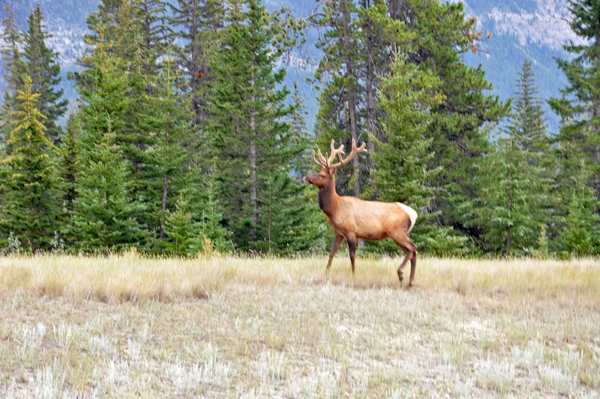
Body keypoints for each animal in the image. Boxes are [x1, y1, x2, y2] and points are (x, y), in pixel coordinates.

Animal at [302, 139, 420, 286]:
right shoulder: (339, 233)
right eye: (318, 170)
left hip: (396, 231)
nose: (306, 177)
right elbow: (331, 252)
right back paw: (410, 281)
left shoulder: (351, 230)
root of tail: (413, 214)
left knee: (412, 248)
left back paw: (401, 274)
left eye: (322, 175)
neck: (334, 209)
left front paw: (353, 275)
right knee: (412, 252)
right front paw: (326, 272)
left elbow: (352, 255)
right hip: (403, 233)